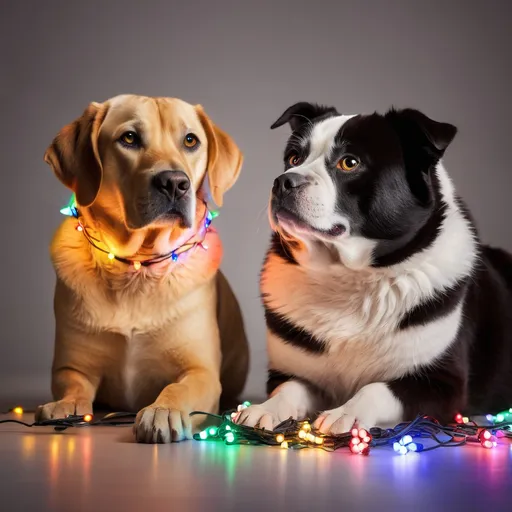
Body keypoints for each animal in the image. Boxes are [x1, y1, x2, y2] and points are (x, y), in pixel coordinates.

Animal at [37, 94, 249, 442]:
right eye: (129, 138)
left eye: (190, 140)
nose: (175, 183)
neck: (137, 269)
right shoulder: (72, 366)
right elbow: (73, 386)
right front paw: (64, 405)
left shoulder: (201, 371)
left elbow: (179, 388)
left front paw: (163, 410)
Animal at [238, 102, 512, 434]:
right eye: (293, 159)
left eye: (349, 163)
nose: (283, 181)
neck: (348, 276)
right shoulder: (288, 372)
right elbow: (290, 387)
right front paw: (266, 408)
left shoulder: (443, 384)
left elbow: (377, 389)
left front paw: (347, 413)